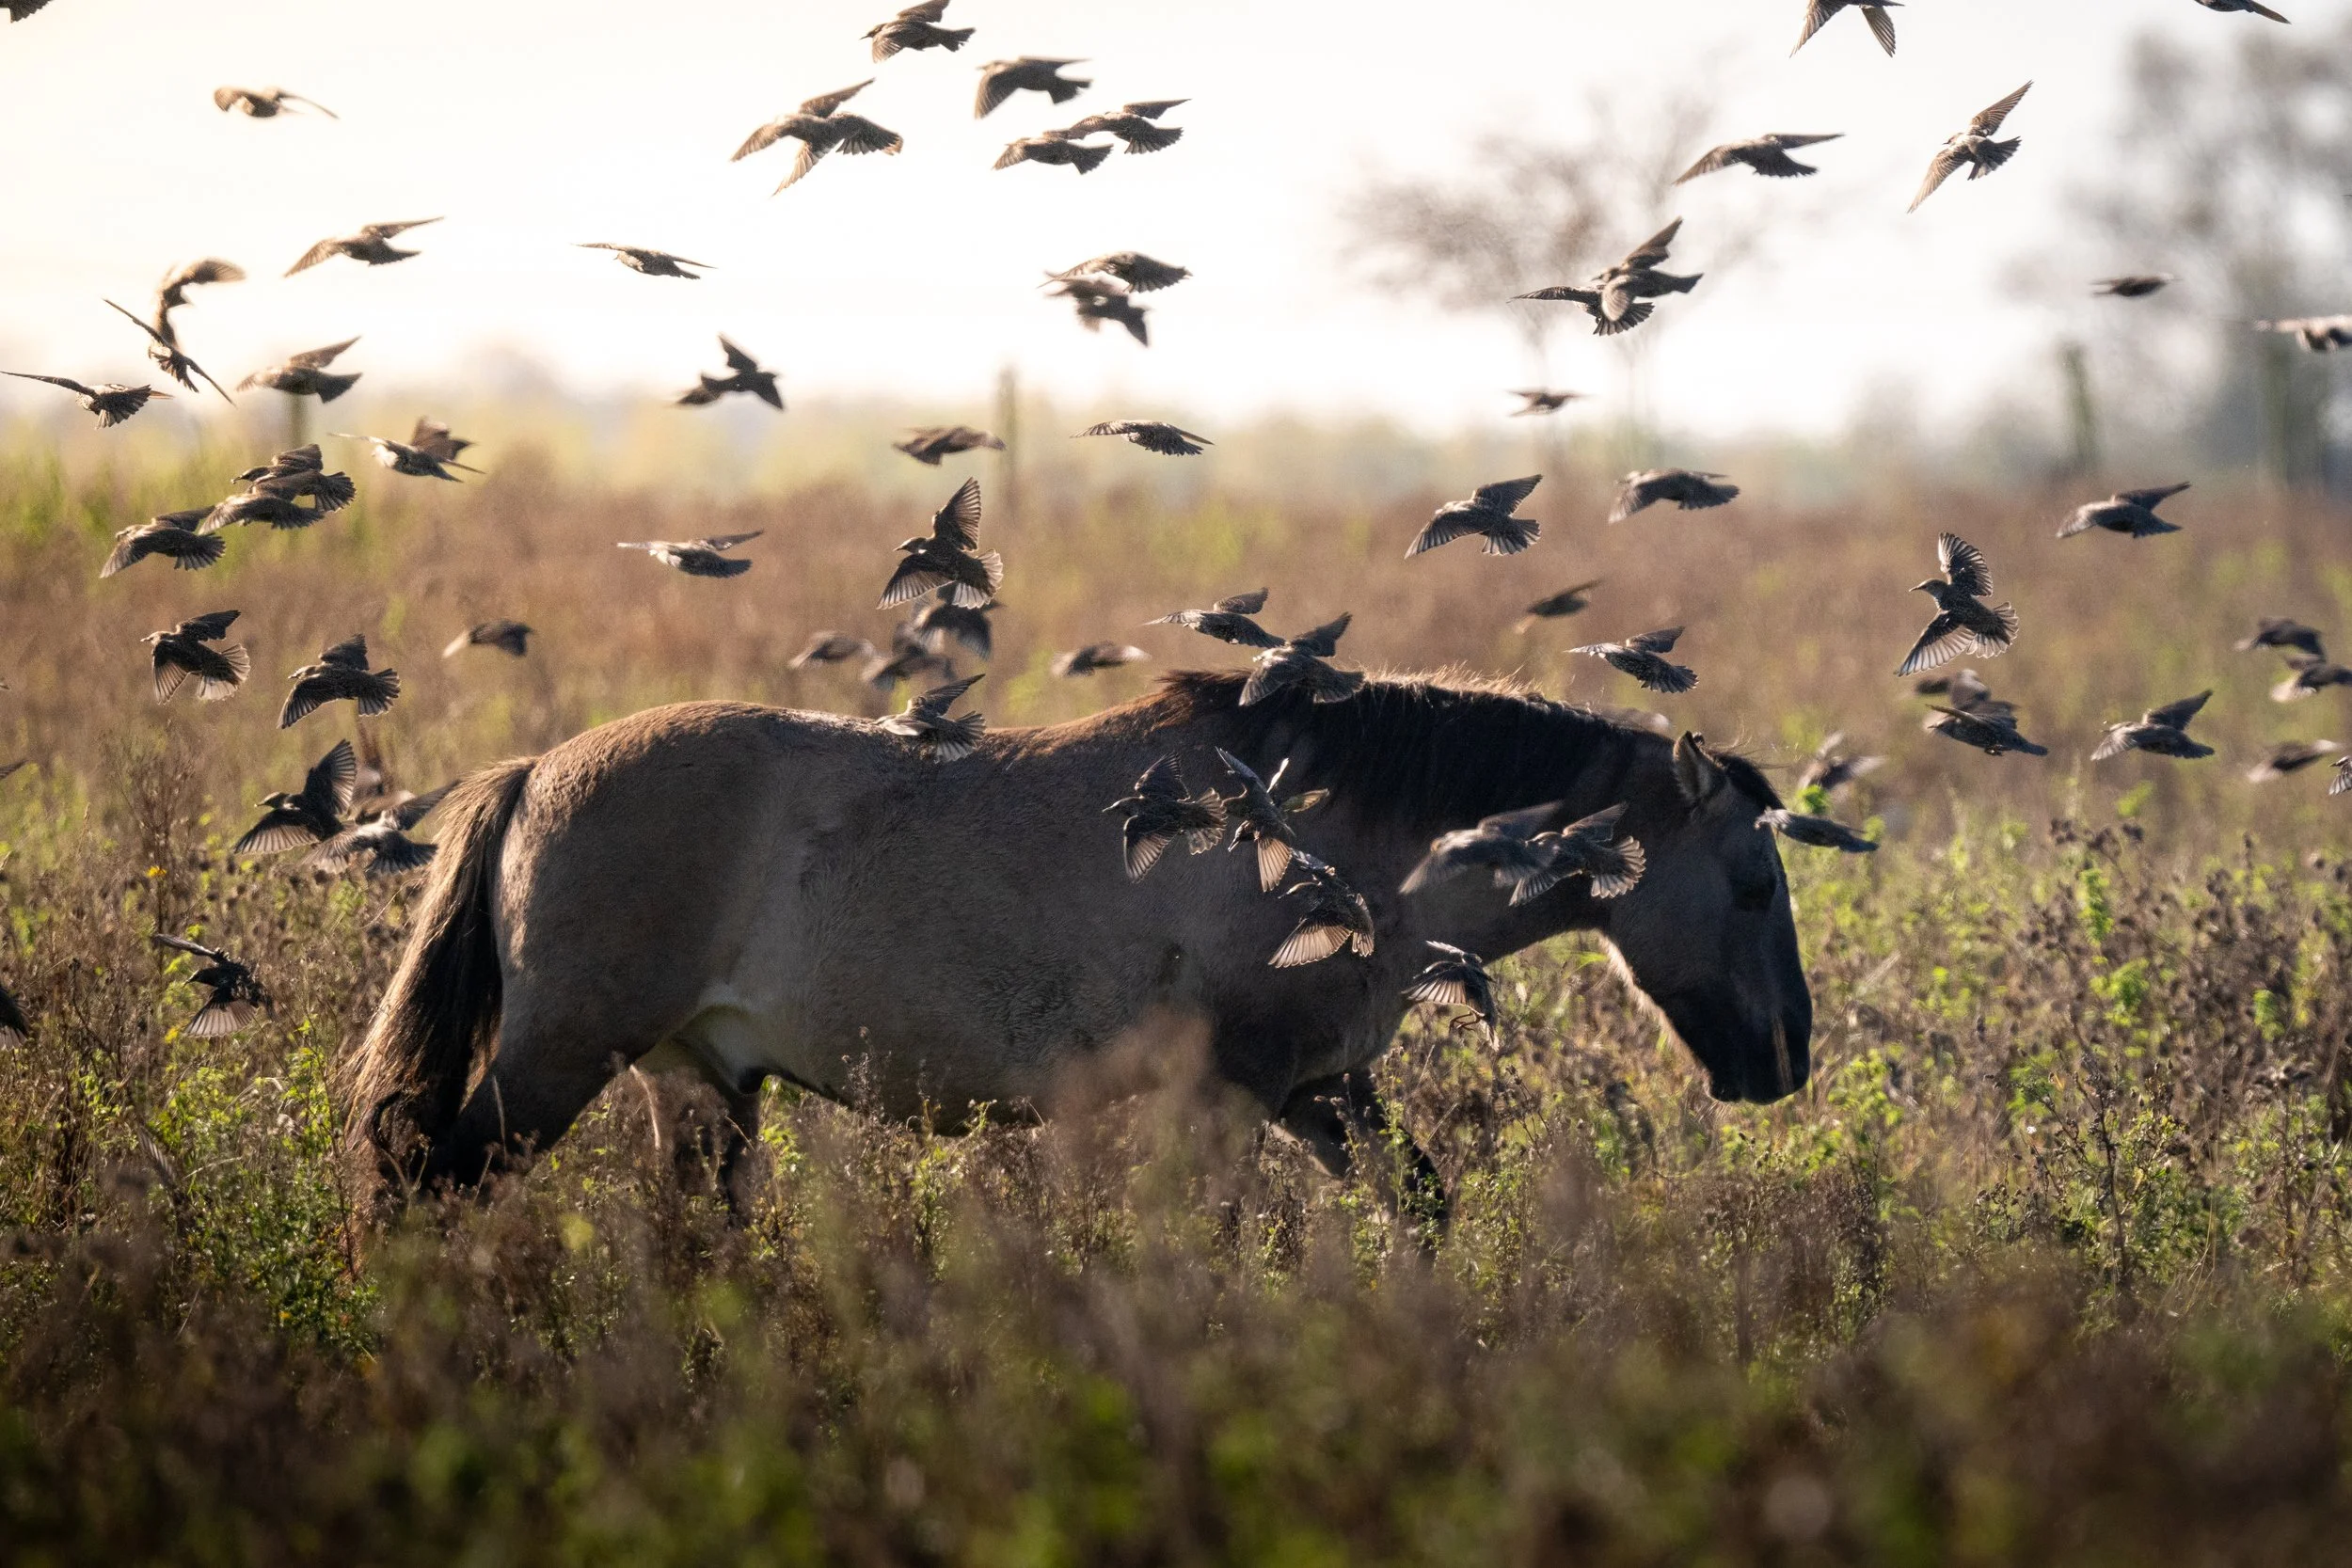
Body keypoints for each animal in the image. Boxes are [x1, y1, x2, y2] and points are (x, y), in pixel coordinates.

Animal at [345, 669, 1812, 1217]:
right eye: (1751, 883)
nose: (1788, 1058)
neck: (1339, 846)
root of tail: (536, 770)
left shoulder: (1324, 1091)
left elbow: (1422, 1203)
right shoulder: (1234, 1094)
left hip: (694, 1085)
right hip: (556, 1063)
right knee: (425, 1176)